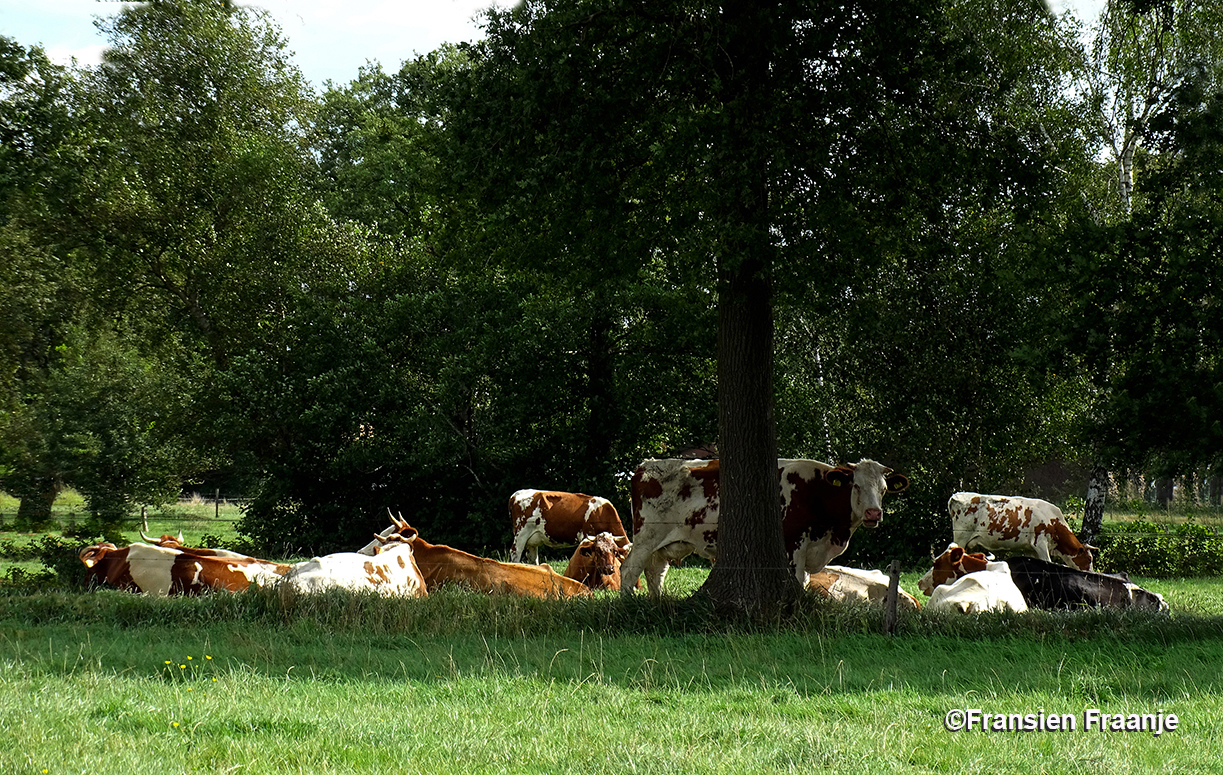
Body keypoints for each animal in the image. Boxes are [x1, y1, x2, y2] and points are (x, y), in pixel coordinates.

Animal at [621, 454, 909, 594]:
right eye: (856, 486)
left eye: (884, 489)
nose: (873, 513)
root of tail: (646, 465)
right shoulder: (794, 547)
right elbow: (796, 582)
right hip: (647, 536)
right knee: (630, 570)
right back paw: (629, 605)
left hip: (665, 545)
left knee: (655, 573)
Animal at [944, 491, 1100, 569]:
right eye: (1089, 559)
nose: (1091, 574)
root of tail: (955, 495)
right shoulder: (1040, 543)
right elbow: (1047, 561)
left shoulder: (1030, 548)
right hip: (961, 537)